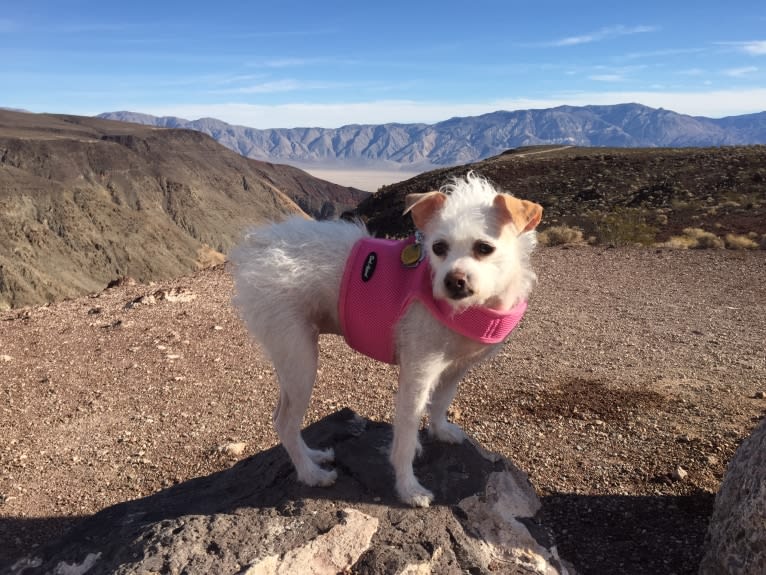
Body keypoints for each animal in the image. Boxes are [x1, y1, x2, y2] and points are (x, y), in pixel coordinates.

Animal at [231, 173, 544, 506]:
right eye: (438, 247)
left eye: (484, 248)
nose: (453, 281)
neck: (470, 309)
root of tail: (260, 246)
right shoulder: (418, 373)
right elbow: (405, 436)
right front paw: (409, 489)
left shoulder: (455, 369)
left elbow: (441, 402)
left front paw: (440, 431)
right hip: (301, 361)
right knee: (286, 423)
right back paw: (311, 474)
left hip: (289, 362)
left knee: (280, 418)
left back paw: (314, 456)